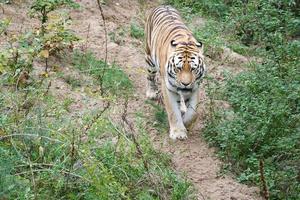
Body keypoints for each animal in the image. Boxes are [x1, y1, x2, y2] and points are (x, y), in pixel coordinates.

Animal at [144, 4, 205, 139]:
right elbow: (173, 111)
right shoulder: (168, 88)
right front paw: (178, 132)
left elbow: (193, 112)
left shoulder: (195, 88)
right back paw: (151, 92)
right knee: (150, 76)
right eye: (178, 68)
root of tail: (163, 5)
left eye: (193, 69)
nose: (185, 84)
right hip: (150, 58)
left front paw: (186, 123)